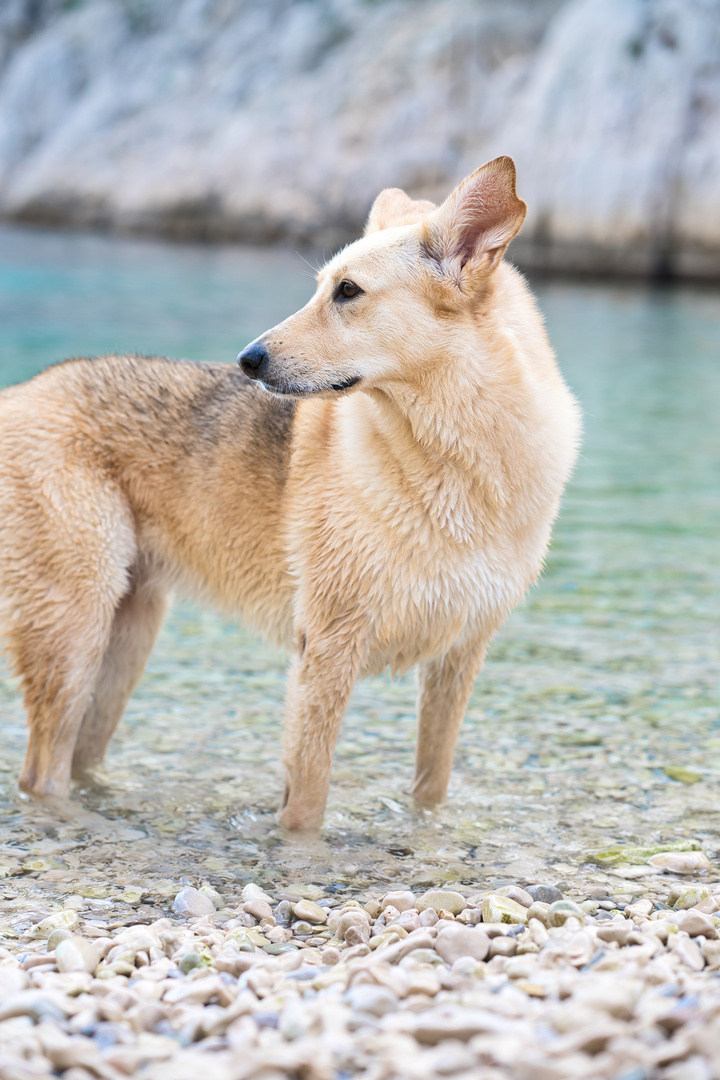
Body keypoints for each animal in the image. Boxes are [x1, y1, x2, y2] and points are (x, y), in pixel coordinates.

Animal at [0, 157, 578, 825]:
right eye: (324, 286)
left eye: (348, 292)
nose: (247, 360)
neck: (454, 461)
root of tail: (18, 393)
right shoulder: (326, 652)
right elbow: (305, 805)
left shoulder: (458, 660)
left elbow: (430, 791)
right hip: (74, 631)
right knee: (42, 772)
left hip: (126, 640)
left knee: (76, 759)